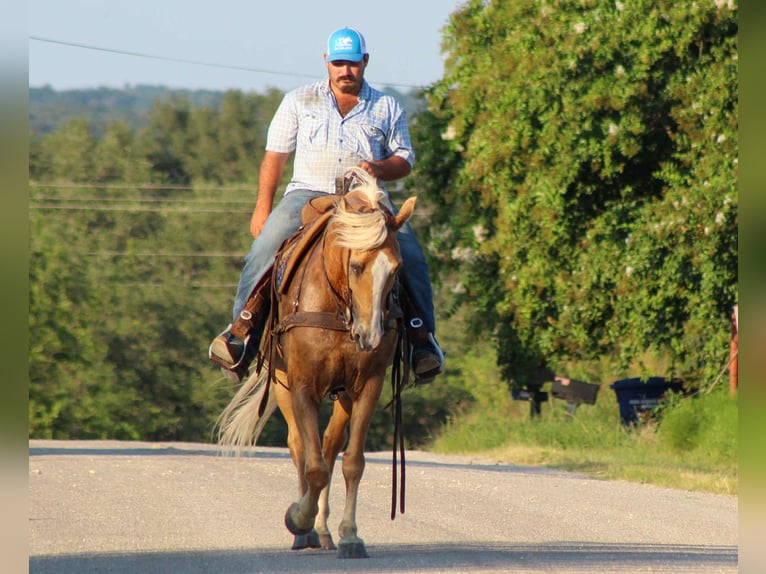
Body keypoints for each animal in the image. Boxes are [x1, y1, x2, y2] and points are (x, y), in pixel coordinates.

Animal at [216, 167, 416, 558]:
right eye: (357, 265)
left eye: (396, 269)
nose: (370, 336)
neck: (336, 308)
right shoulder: (303, 385)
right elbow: (314, 467)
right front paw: (298, 518)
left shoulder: (368, 386)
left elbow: (351, 461)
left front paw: (350, 535)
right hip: (282, 384)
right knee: (300, 447)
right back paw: (307, 531)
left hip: (342, 394)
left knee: (329, 445)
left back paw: (323, 530)